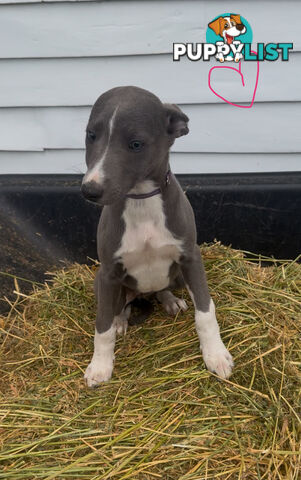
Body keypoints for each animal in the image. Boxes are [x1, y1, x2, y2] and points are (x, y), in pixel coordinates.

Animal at [81, 86, 233, 386]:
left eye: (136, 144)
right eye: (91, 135)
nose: (89, 190)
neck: (141, 199)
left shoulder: (191, 258)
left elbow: (205, 312)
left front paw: (215, 355)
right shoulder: (108, 272)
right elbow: (102, 326)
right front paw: (100, 366)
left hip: (177, 275)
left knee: (162, 288)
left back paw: (170, 300)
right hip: (101, 283)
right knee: (119, 304)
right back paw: (121, 319)